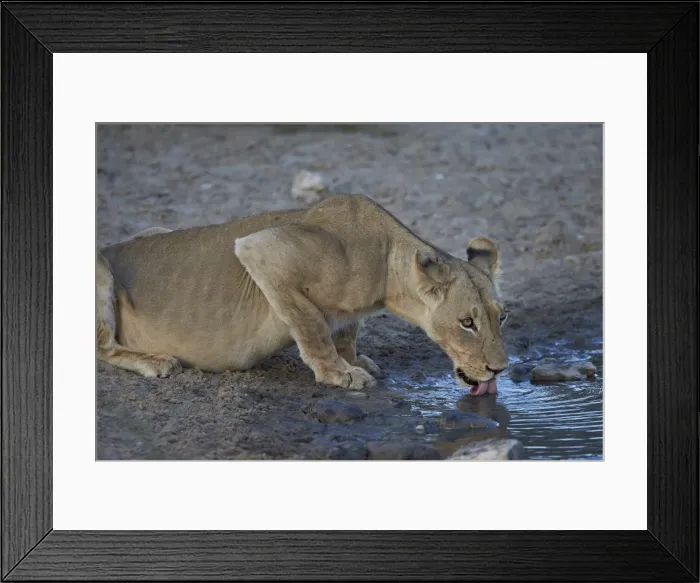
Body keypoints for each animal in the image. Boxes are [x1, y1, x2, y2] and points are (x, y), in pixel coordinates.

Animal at [97, 194, 509, 395]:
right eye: (466, 323)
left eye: (501, 316)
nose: (500, 369)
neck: (385, 260)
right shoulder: (261, 251)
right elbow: (312, 327)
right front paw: (340, 374)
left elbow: (346, 330)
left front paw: (354, 359)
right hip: (100, 272)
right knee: (103, 348)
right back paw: (156, 362)